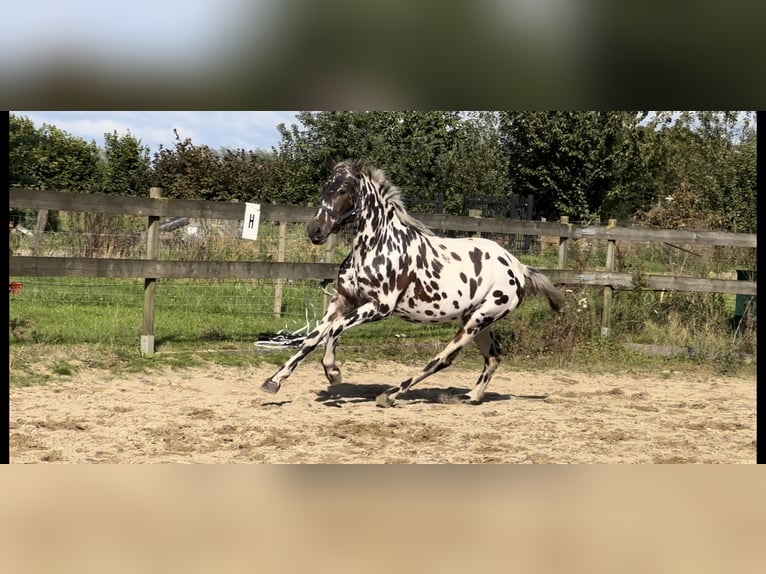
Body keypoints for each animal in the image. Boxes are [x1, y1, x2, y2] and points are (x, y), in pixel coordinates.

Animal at [260, 160, 568, 408]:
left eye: (344, 190)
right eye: (326, 187)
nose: (316, 230)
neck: (375, 245)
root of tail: (518, 267)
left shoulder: (379, 307)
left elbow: (334, 330)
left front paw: (333, 372)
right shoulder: (344, 299)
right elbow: (312, 338)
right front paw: (273, 382)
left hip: (479, 319)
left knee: (444, 358)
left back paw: (390, 395)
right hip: (479, 320)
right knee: (493, 358)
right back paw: (471, 397)